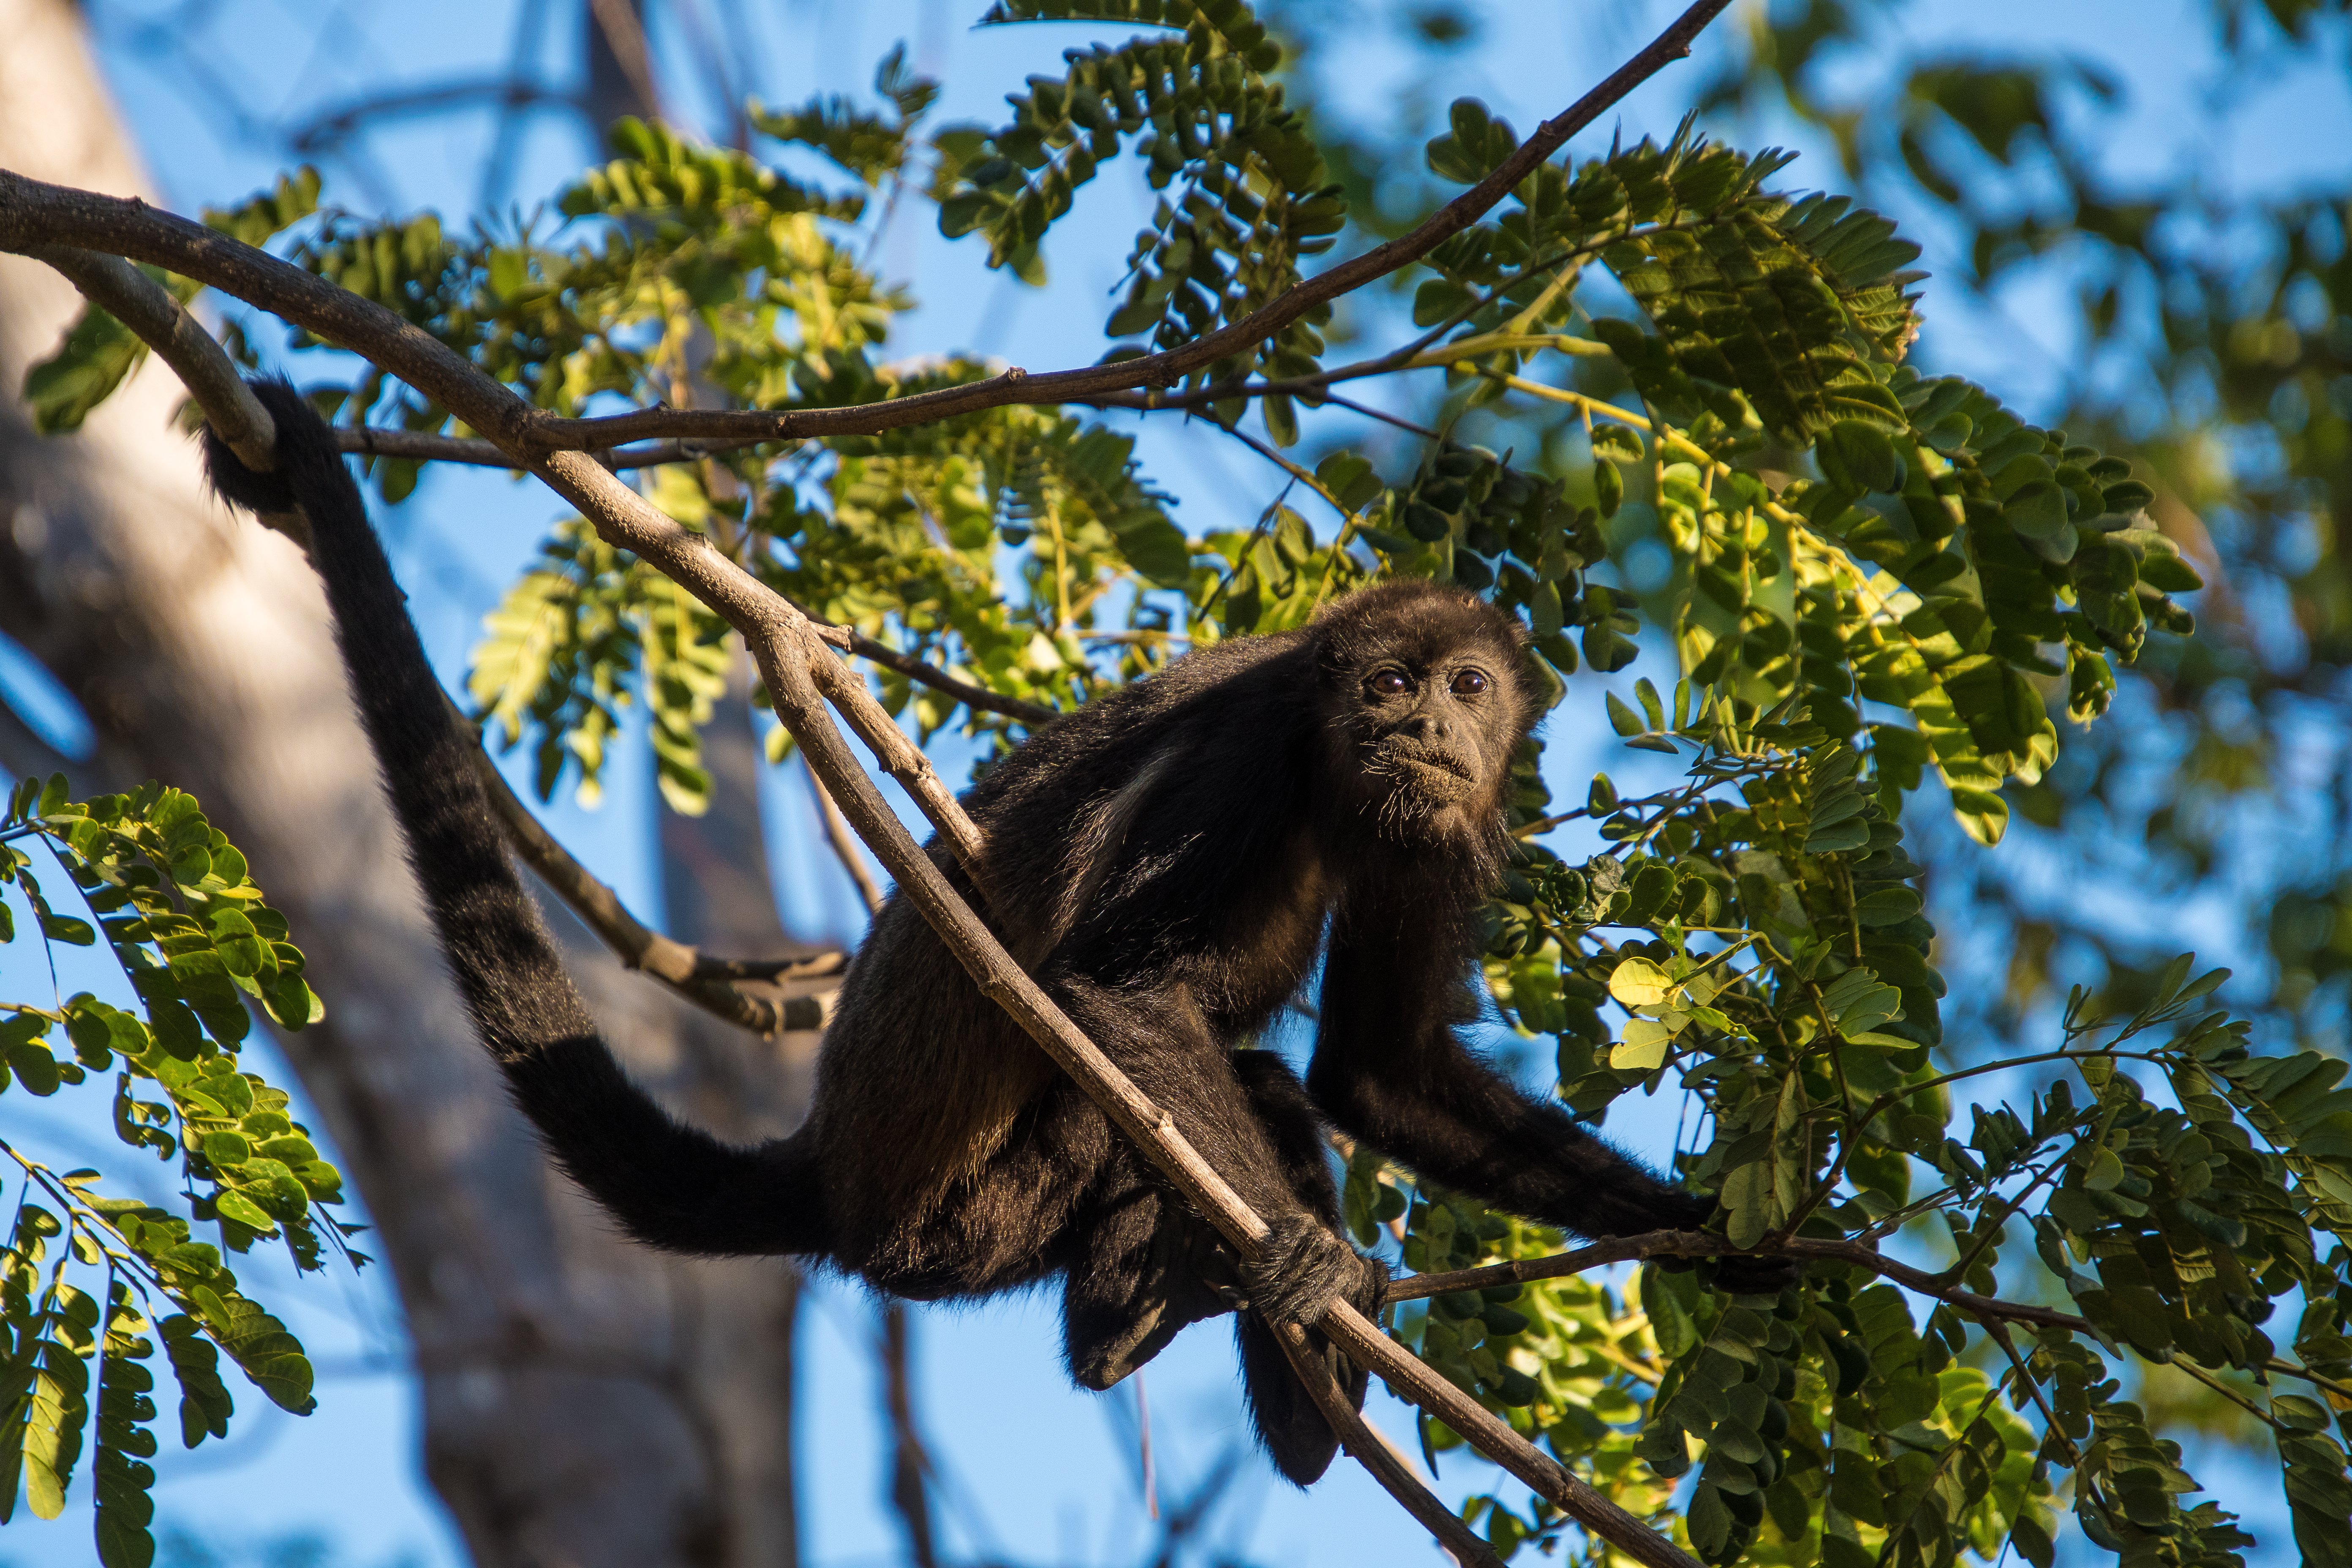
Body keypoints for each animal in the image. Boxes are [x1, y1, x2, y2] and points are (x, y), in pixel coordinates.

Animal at [204, 379, 1792, 1487]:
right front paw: (1300, 1256)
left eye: (1466, 685)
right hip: (963, 1232)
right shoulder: (1243, 758)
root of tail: (833, 1177)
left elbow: (1378, 1071)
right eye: (1385, 684)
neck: (1334, 774)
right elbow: (1119, 993)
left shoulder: (1430, 832)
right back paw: (1153, 1321)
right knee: (1147, 1101)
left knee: (1275, 1089)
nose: (1422, 728)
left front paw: (1729, 1241)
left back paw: (1295, 1408)